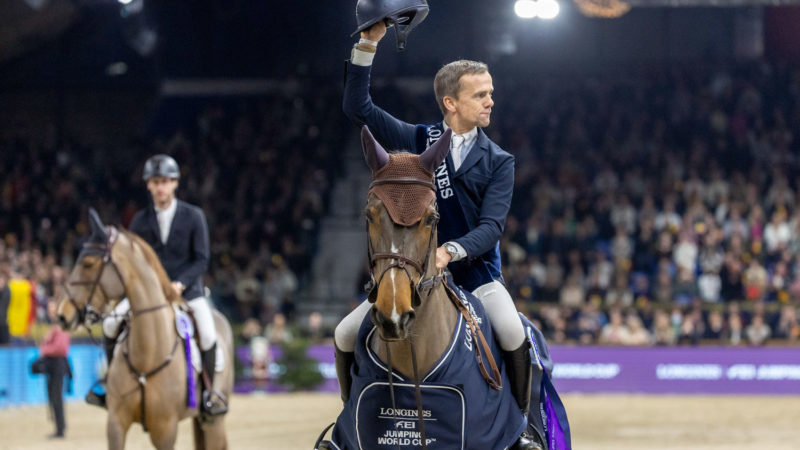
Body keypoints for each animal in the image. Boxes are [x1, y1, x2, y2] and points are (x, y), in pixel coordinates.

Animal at [55, 211, 231, 450]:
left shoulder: (165, 430)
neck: (147, 357)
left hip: (214, 421)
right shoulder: (116, 423)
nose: (61, 314)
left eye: (88, 263)